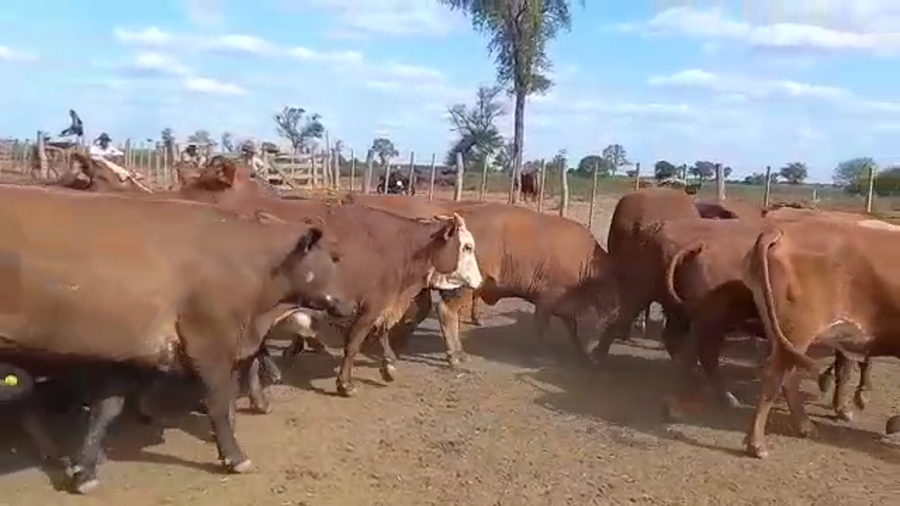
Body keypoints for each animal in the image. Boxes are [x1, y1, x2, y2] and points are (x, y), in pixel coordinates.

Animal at [0, 184, 351, 493]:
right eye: (332, 258)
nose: (349, 304)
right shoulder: (209, 341)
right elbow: (218, 402)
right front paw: (235, 457)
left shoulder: (127, 352)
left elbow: (106, 410)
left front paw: (84, 471)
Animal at [174, 159, 483, 396]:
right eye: (467, 247)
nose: (479, 282)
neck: (394, 245)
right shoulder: (372, 303)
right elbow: (354, 342)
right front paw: (345, 383)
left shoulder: (379, 303)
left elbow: (379, 332)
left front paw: (388, 366)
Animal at [740, 218, 900, 459]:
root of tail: (780, 231)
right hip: (797, 332)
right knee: (775, 378)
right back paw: (758, 444)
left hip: (781, 333)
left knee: (788, 378)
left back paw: (805, 426)